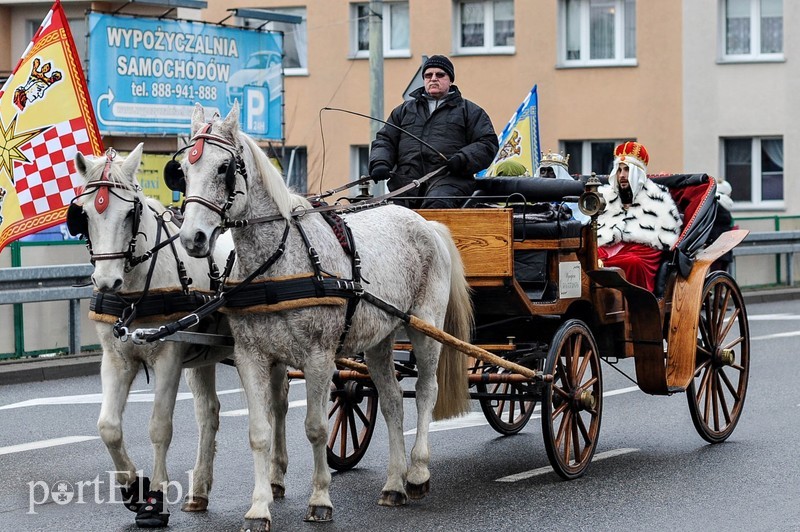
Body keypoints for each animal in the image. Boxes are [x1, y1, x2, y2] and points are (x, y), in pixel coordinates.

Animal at [72, 145, 247, 528]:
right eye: (84, 213)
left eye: (129, 213)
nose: (106, 281)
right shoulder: (116, 358)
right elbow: (108, 426)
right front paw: (132, 489)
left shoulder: (169, 356)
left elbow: (159, 427)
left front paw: (154, 501)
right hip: (203, 357)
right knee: (209, 412)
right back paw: (199, 493)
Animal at [177, 102, 476, 528]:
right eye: (183, 171)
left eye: (224, 168)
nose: (192, 239)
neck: (278, 263)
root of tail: (425, 223)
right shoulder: (252, 356)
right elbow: (259, 431)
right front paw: (259, 507)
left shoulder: (319, 358)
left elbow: (316, 428)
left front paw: (319, 500)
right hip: (379, 341)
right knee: (392, 403)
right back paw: (394, 484)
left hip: (425, 327)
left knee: (425, 392)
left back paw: (417, 472)